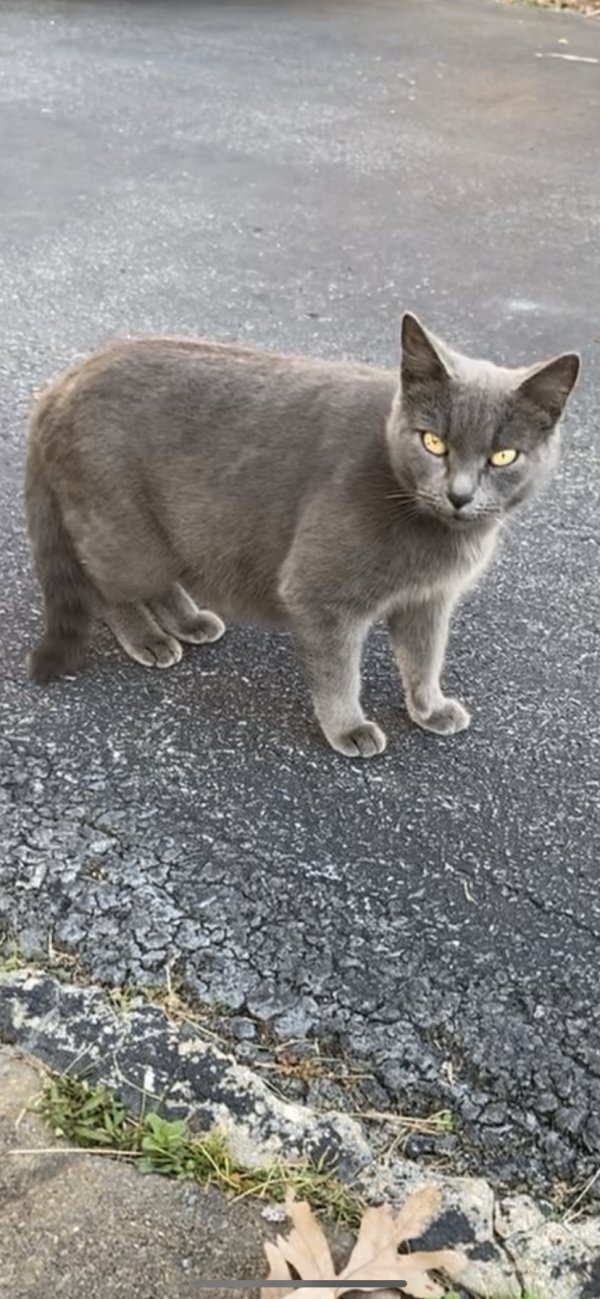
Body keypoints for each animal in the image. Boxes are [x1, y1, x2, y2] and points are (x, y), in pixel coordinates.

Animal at [25, 314, 579, 758]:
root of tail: (62, 383)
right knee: (108, 587)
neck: (434, 536)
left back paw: (189, 622)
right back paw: (149, 638)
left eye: (503, 456)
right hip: (123, 529)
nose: (460, 495)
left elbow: (424, 657)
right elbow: (339, 672)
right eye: (433, 442)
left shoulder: (429, 600)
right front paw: (349, 729)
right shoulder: (320, 595)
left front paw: (429, 709)